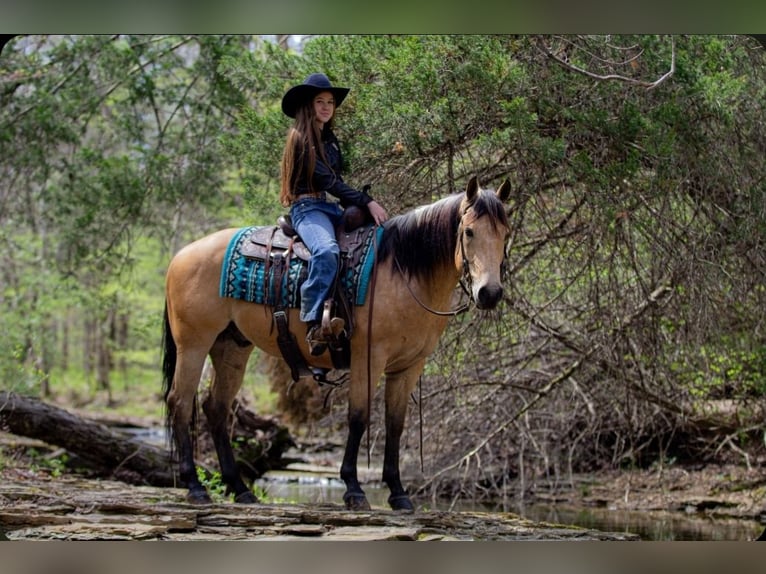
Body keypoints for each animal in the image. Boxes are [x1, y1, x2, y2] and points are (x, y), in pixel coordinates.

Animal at [161, 175, 511, 510]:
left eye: (505, 233)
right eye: (469, 232)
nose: (489, 293)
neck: (404, 272)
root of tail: (181, 256)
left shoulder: (409, 366)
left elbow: (395, 425)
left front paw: (398, 494)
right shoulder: (369, 357)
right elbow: (358, 418)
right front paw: (354, 490)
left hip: (231, 347)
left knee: (216, 408)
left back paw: (240, 489)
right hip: (194, 344)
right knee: (180, 402)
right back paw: (195, 487)